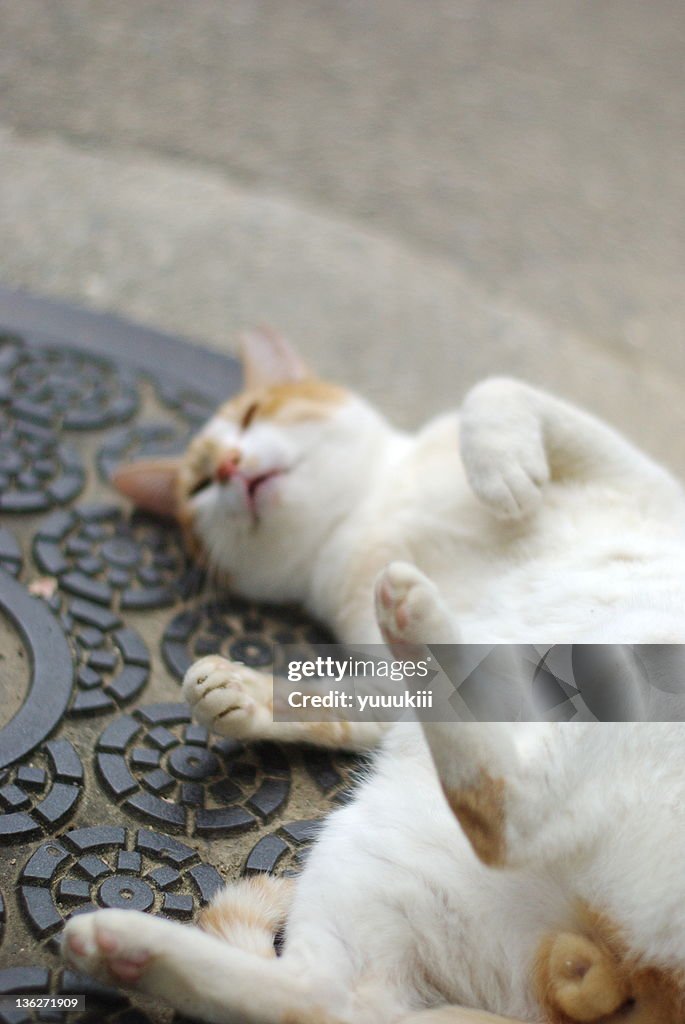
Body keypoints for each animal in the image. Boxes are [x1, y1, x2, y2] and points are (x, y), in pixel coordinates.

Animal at [60, 329, 683, 1024]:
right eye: (197, 487)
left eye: (253, 415)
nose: (227, 467)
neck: (367, 512)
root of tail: (618, 958)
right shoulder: (380, 676)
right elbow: (331, 698)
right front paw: (239, 692)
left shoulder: (632, 474)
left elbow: (493, 388)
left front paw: (501, 471)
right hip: (375, 849)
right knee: (325, 989)